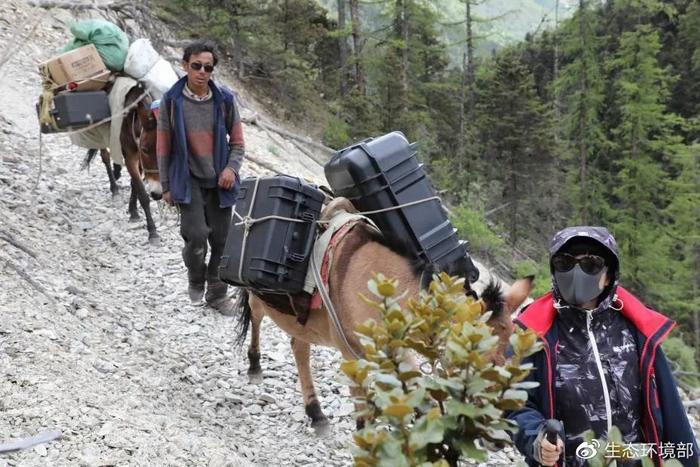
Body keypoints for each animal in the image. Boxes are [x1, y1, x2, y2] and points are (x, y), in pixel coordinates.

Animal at [83, 83, 161, 245]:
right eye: (145, 149)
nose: (158, 194)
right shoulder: (131, 156)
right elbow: (142, 193)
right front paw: (152, 232)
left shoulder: (139, 160)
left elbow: (134, 184)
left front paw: (133, 211)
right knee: (105, 156)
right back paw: (115, 189)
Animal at [232, 198, 532, 432]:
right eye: (487, 361)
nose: (490, 421)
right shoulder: (352, 354)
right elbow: (364, 411)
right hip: (259, 297)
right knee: (257, 315)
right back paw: (255, 365)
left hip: (303, 323)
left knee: (299, 346)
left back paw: (316, 413)